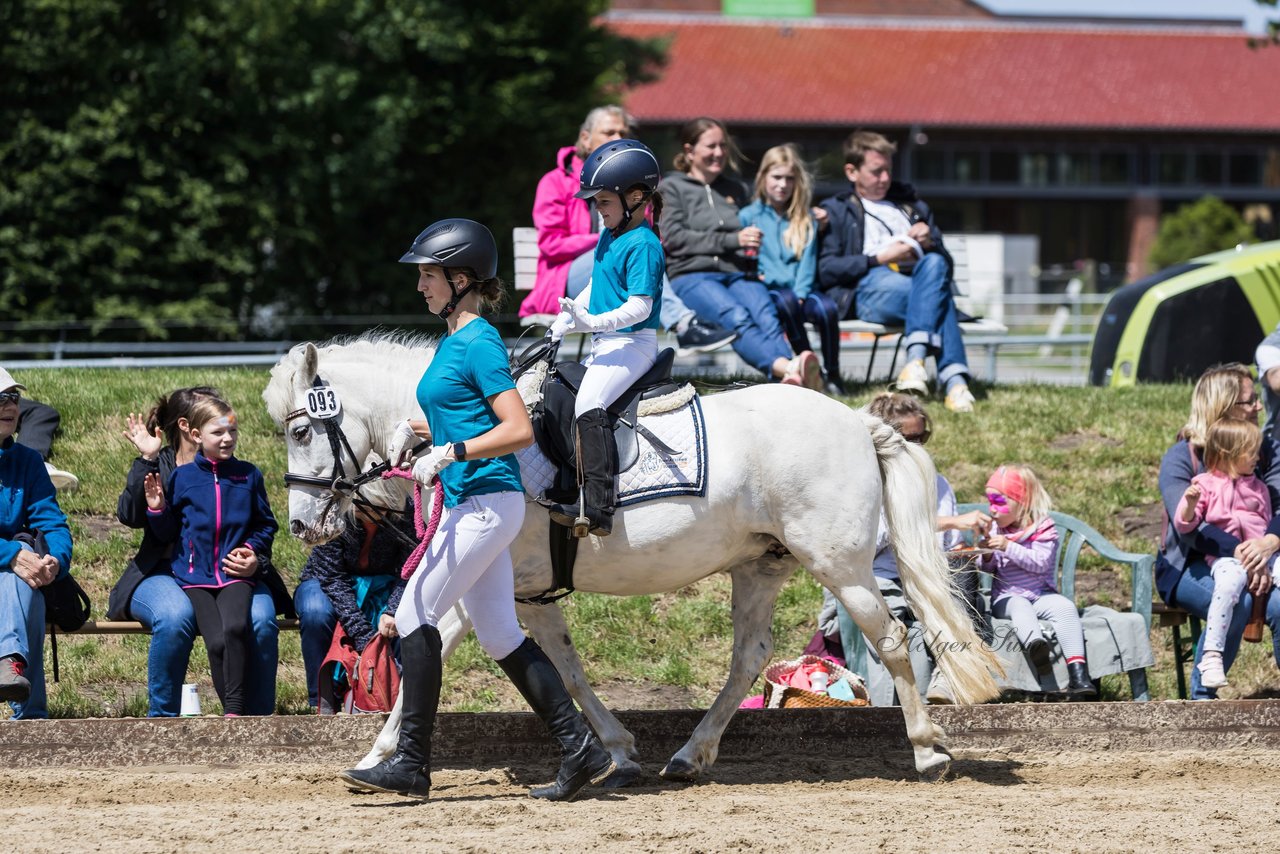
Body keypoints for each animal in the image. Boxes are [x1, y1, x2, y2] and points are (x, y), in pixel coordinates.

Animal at [267, 330, 998, 783]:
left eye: (301, 431)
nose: (299, 525)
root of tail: (858, 421)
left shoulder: (475, 585)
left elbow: (433, 643)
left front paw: (379, 755)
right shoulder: (529, 595)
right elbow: (563, 669)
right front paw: (615, 752)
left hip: (839, 567)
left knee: (892, 639)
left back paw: (928, 751)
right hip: (761, 565)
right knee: (750, 658)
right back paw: (691, 755)